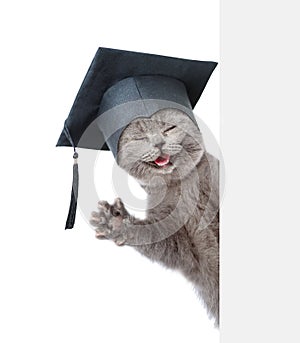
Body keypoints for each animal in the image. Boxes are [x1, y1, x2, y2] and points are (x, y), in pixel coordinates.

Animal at [89, 109, 218, 326]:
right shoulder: (181, 245)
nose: (158, 143)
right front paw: (116, 221)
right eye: (141, 138)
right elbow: (160, 242)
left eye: (169, 128)